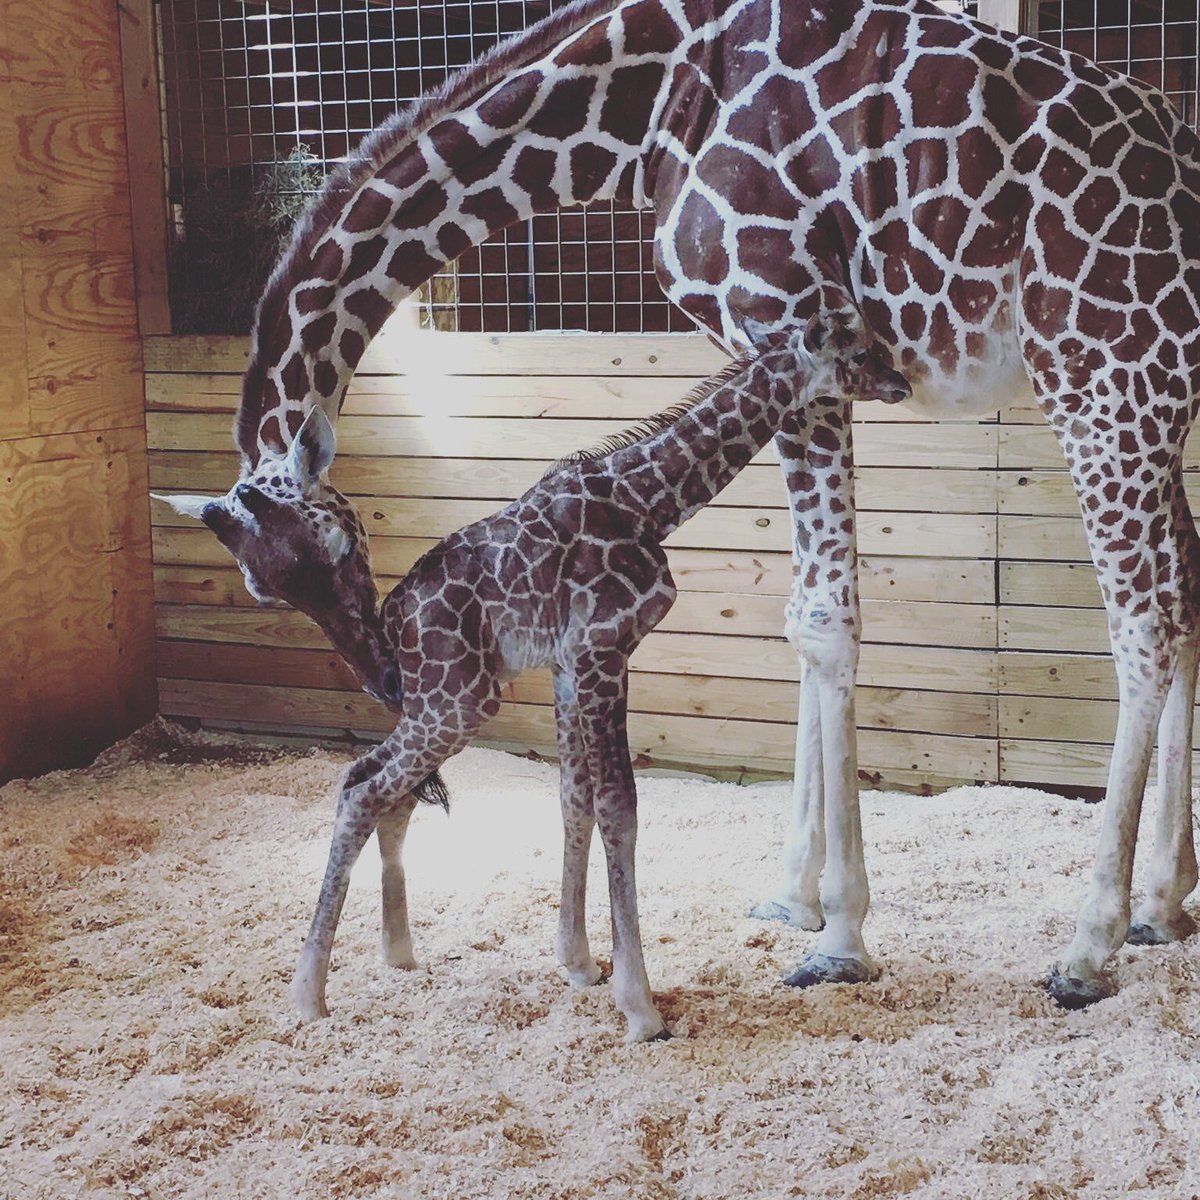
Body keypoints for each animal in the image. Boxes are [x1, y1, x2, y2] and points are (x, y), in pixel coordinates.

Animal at [159, 309, 907, 1041]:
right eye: (855, 350)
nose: (899, 383)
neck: (649, 503)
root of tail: (395, 629)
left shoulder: (573, 663)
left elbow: (575, 798)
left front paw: (579, 964)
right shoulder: (604, 649)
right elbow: (619, 807)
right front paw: (640, 1007)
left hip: (441, 703)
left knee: (380, 785)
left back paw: (395, 953)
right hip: (458, 702)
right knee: (363, 786)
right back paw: (308, 995)